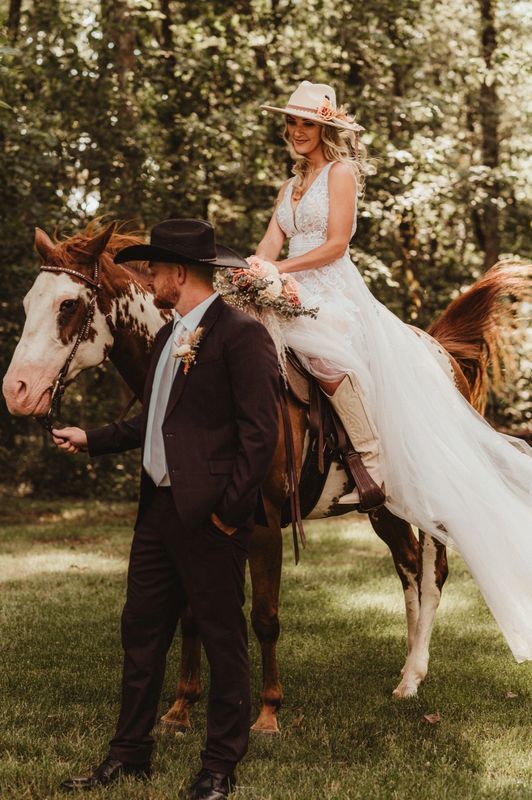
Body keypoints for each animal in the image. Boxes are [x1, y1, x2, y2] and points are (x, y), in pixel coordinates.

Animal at [4, 222, 528, 736]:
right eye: (29, 302)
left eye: (68, 305)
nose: (16, 390)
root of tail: (440, 354)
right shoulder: (192, 522)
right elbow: (193, 615)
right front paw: (182, 707)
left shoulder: (263, 524)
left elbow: (265, 617)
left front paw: (268, 714)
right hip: (385, 508)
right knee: (409, 569)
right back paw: (405, 674)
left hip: (434, 502)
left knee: (432, 576)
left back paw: (415, 676)